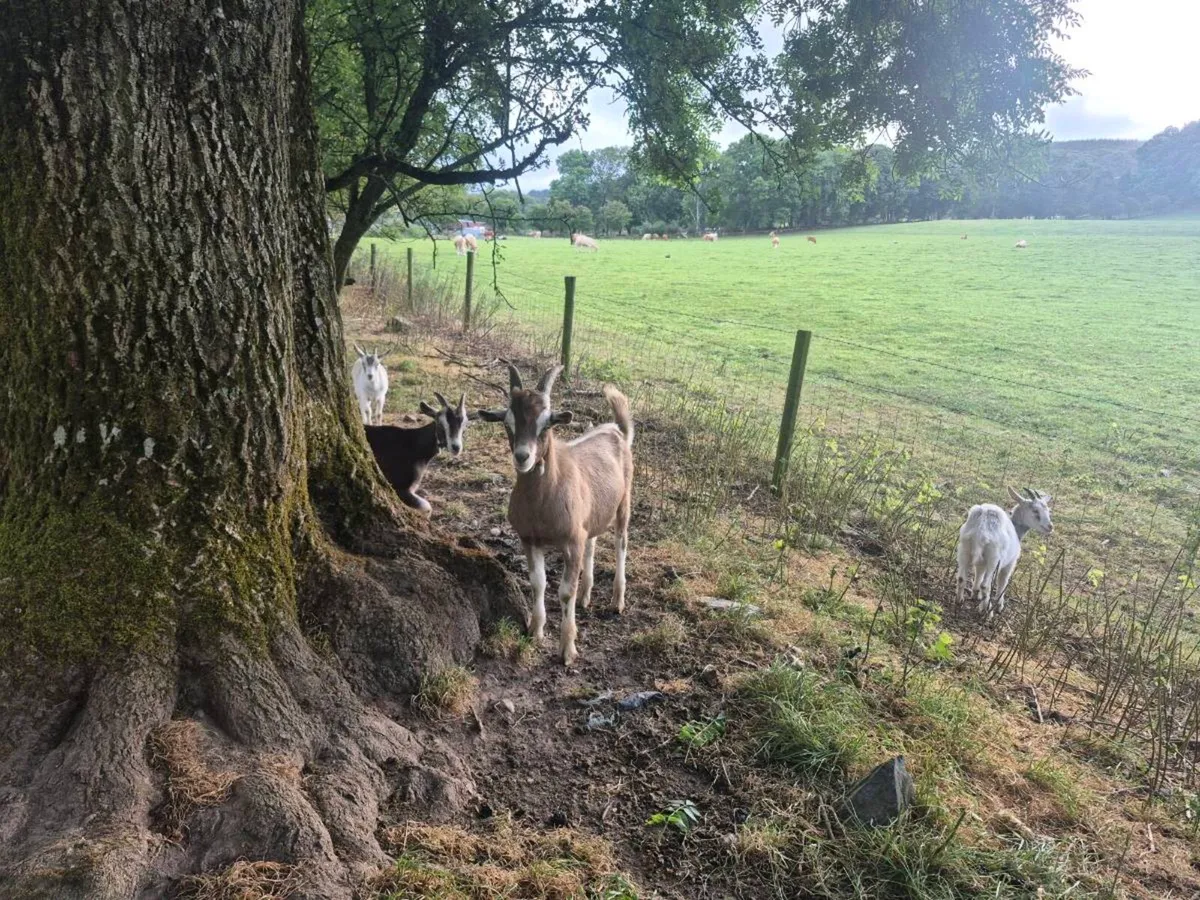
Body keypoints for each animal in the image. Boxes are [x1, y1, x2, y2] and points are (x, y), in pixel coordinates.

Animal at [479, 364, 634, 665]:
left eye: (547, 423)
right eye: (507, 423)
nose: (523, 457)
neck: (543, 501)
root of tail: (616, 429)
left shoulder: (571, 541)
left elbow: (564, 592)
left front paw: (567, 649)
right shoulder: (529, 539)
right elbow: (538, 583)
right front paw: (535, 631)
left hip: (625, 501)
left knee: (621, 542)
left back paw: (617, 601)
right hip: (593, 513)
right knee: (593, 541)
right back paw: (586, 595)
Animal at [956, 487, 1054, 618]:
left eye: (1048, 510)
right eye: (1035, 510)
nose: (1050, 527)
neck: (1017, 530)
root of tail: (982, 526)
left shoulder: (981, 563)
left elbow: (979, 573)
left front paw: (975, 595)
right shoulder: (1010, 563)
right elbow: (1003, 581)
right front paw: (999, 605)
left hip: (964, 548)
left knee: (962, 577)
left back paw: (959, 600)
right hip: (994, 558)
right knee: (986, 585)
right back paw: (988, 612)